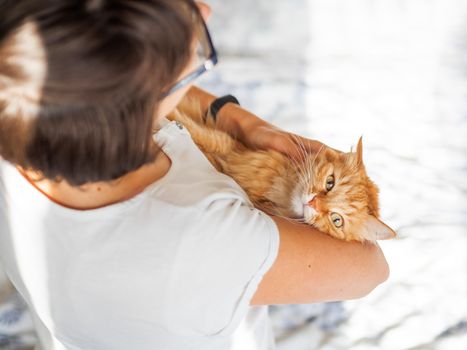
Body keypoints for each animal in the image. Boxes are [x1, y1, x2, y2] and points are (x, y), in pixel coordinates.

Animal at [166, 97, 396, 242]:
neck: (278, 189)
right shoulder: (226, 145)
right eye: (330, 183)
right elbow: (188, 125)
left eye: (336, 220)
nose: (312, 202)